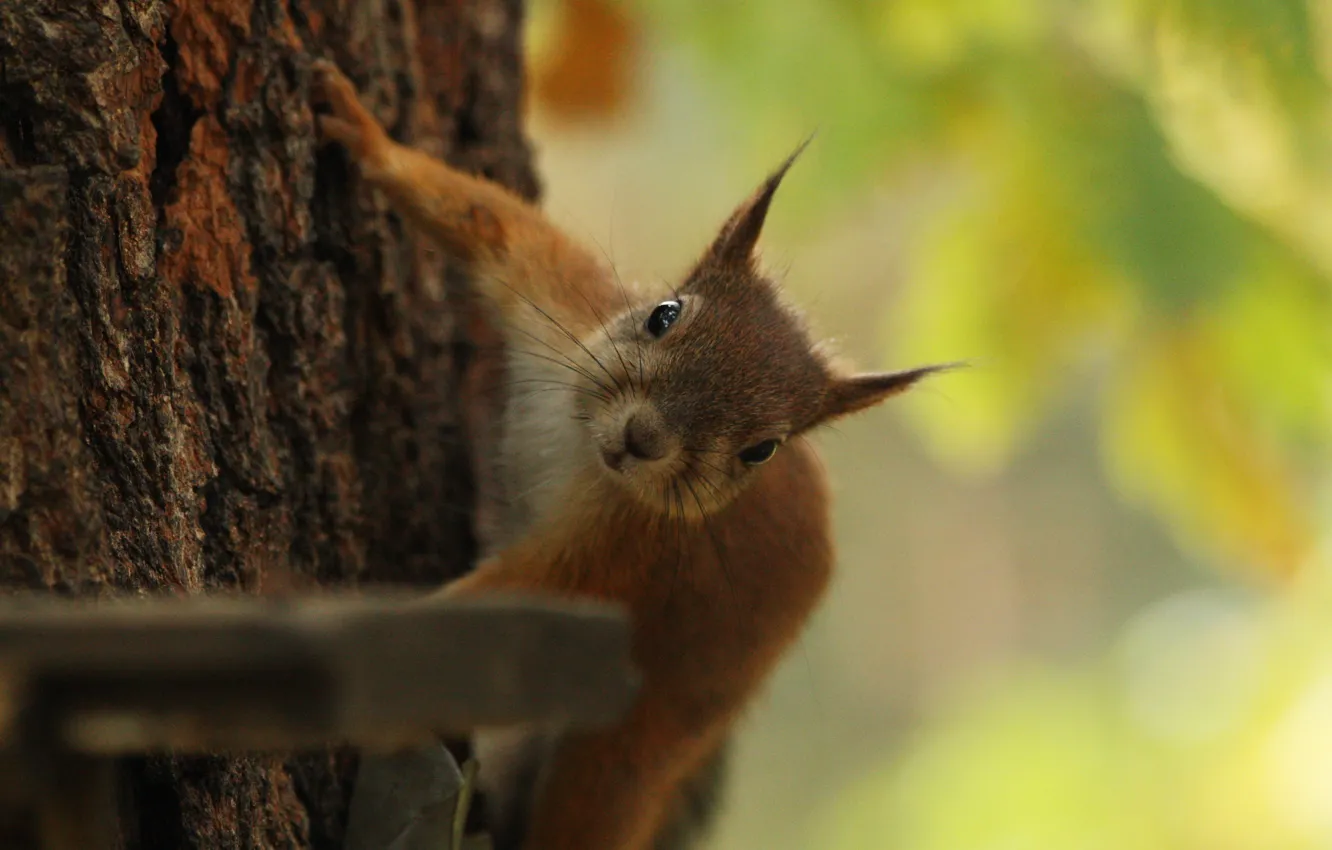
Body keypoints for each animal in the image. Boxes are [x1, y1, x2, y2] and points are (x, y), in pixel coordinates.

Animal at [309, 61, 948, 850]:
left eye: (761, 449)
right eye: (662, 315)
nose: (644, 439)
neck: (583, 450)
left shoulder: (617, 554)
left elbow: (503, 599)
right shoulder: (563, 295)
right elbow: (491, 221)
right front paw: (365, 132)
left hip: (630, 745)